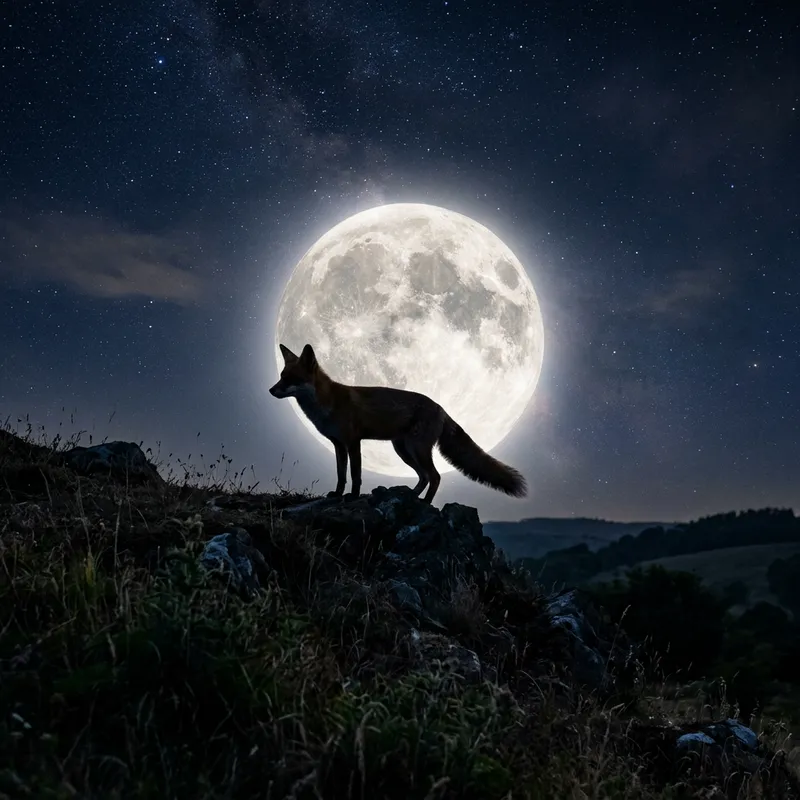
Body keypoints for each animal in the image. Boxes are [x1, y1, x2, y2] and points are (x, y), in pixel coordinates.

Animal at [269, 343, 527, 504]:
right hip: (403, 451)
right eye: (281, 376)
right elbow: (341, 474)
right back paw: (412, 497)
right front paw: (337, 494)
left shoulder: (353, 442)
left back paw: (425, 503)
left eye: (291, 379)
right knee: (424, 477)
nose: (271, 390)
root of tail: (441, 408)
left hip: (416, 449)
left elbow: (355, 475)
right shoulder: (338, 445)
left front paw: (352, 496)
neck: (326, 405)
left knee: (435, 476)